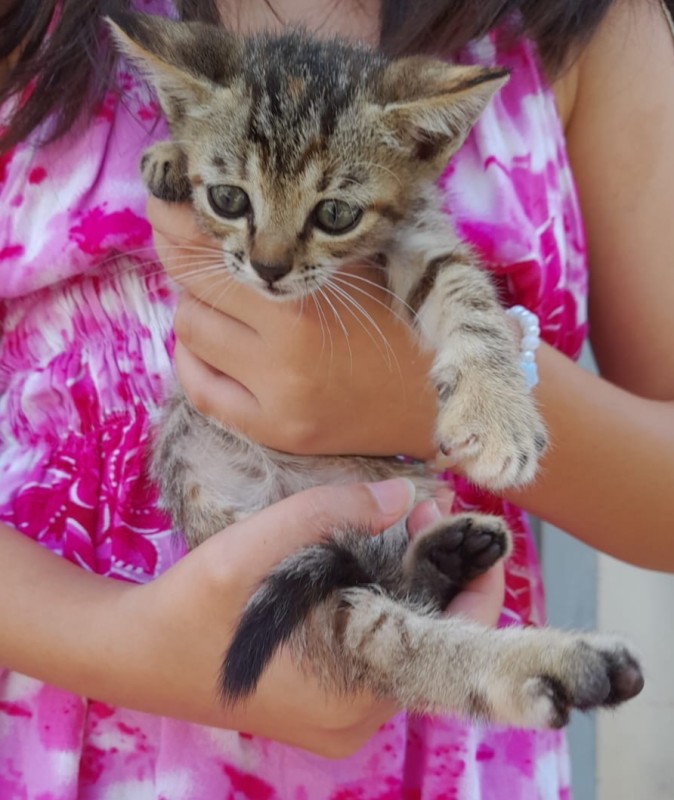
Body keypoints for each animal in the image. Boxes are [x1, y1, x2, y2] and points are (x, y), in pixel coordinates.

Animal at [109, 12, 640, 728]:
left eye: (335, 213)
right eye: (229, 199)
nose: (269, 268)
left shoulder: (424, 237)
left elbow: (471, 301)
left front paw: (497, 414)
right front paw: (168, 155)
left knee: (388, 632)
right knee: (381, 636)